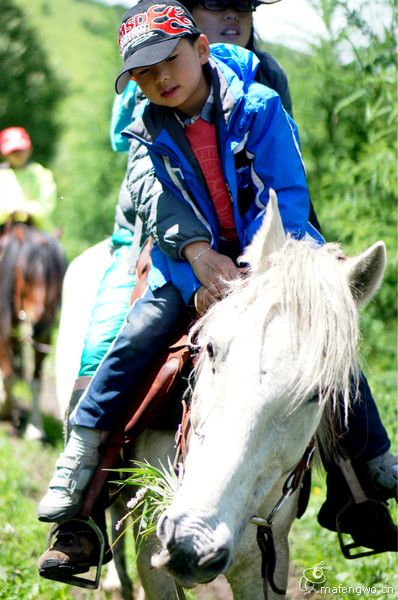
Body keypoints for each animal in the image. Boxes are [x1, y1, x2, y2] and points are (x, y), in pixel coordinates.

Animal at [0, 223, 66, 438]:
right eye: (25, 274)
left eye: (58, 277)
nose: (40, 321)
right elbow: (9, 376)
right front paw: (5, 410)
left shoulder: (43, 336)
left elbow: (36, 382)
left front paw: (35, 428)